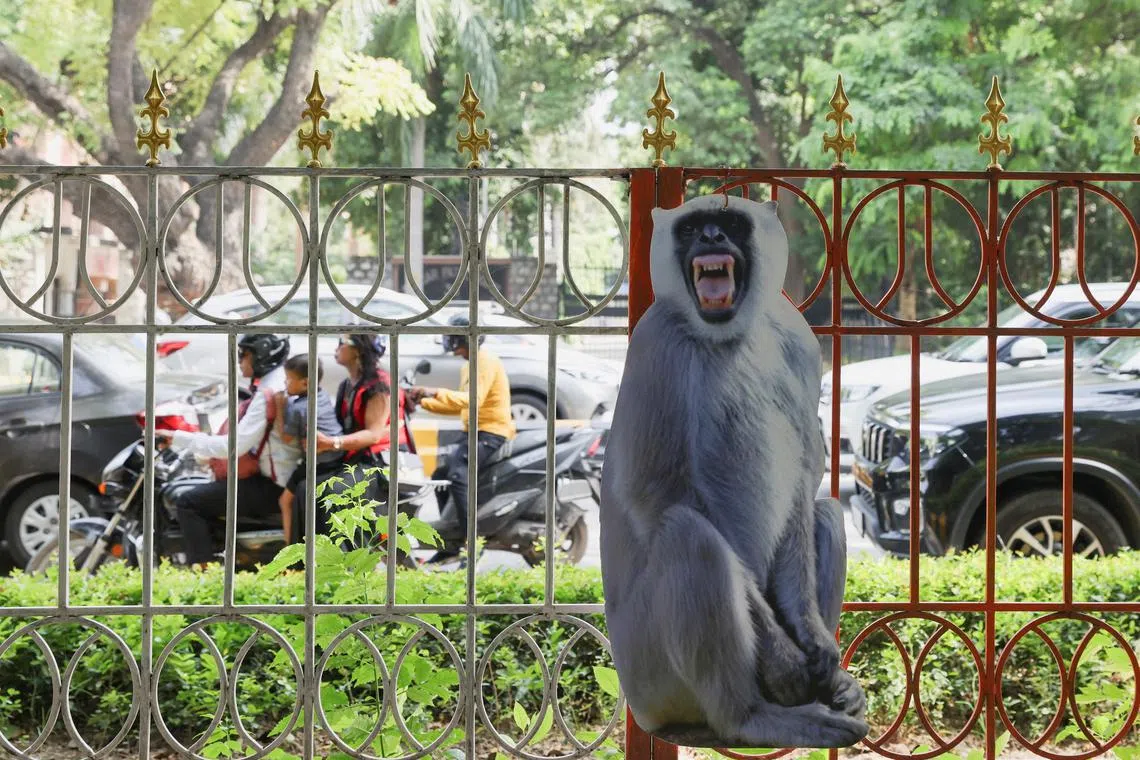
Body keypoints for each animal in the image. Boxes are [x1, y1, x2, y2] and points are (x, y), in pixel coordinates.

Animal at [599, 194, 868, 748]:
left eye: (727, 223)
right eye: (693, 228)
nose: (711, 239)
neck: (726, 334)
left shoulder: (799, 341)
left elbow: (803, 479)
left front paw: (813, 639)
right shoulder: (655, 341)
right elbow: (654, 494)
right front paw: (785, 658)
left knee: (827, 513)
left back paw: (830, 687)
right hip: (648, 672)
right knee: (689, 535)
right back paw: (751, 716)